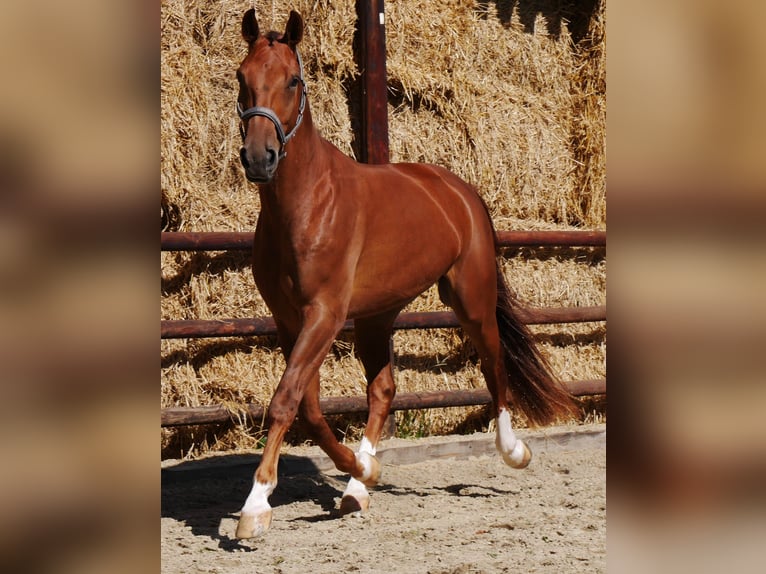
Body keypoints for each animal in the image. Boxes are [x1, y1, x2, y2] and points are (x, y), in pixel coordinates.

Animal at [234, 9, 576, 540]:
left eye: (292, 80)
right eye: (241, 77)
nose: (258, 158)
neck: (307, 203)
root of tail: (460, 191)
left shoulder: (325, 315)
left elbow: (286, 400)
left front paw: (255, 506)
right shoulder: (290, 321)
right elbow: (306, 406)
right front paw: (358, 469)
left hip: (471, 301)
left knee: (494, 366)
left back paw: (514, 451)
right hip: (378, 316)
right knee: (383, 391)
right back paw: (358, 487)